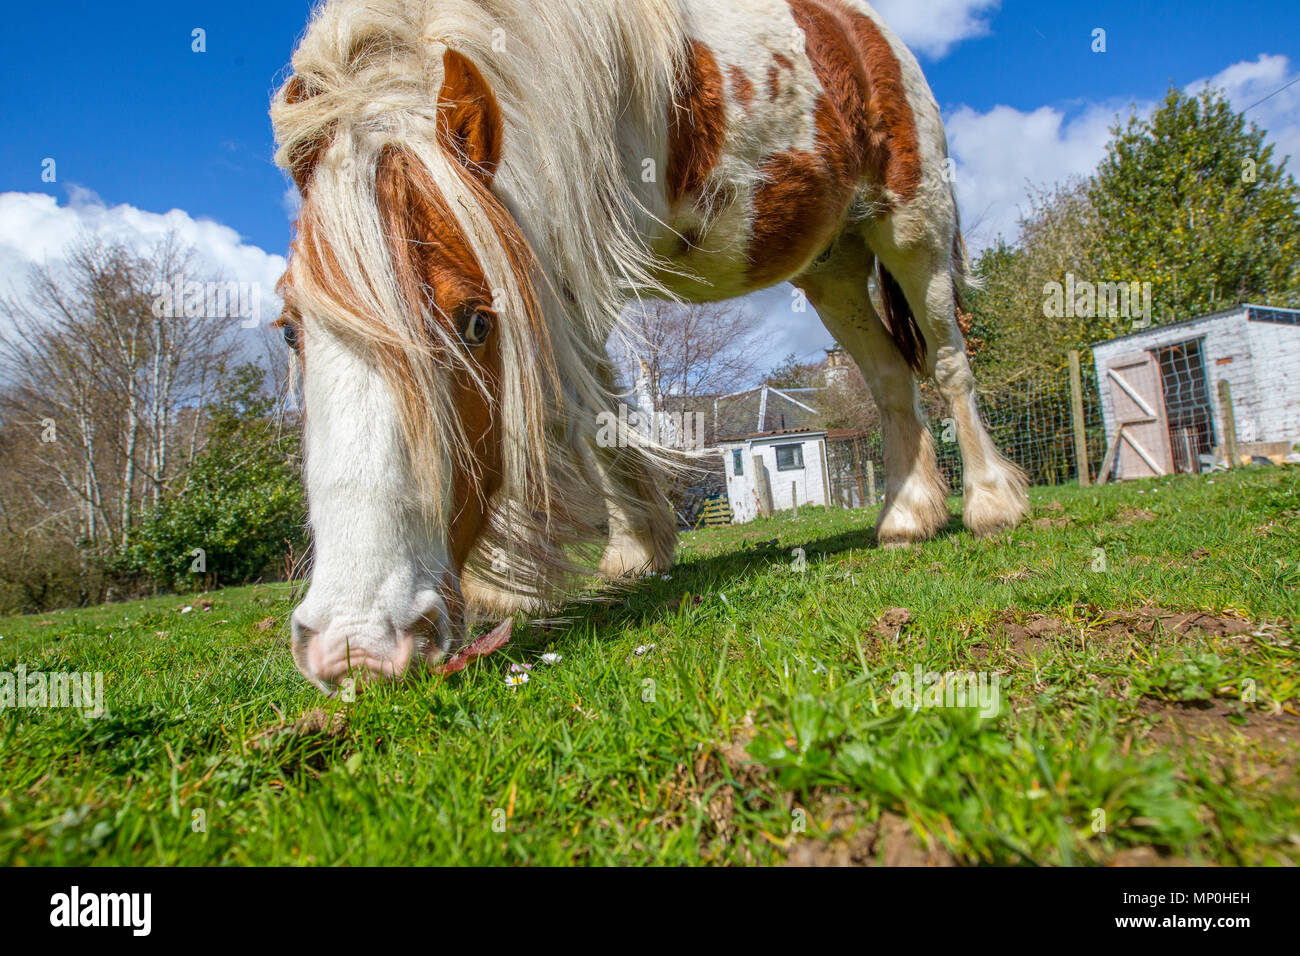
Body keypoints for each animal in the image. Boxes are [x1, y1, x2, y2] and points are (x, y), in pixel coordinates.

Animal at [271, 0, 1024, 686]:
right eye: (288, 328)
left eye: (476, 322)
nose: (356, 644)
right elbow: (592, 415)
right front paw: (629, 549)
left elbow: (566, 411)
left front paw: (532, 575)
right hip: (832, 266)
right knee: (891, 377)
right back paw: (909, 514)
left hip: (914, 228)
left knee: (949, 363)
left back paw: (991, 503)